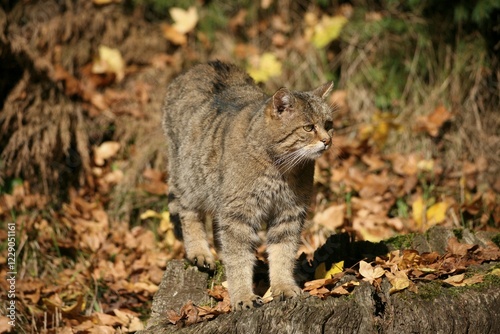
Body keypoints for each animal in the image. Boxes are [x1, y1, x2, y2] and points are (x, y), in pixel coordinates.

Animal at [164, 60, 334, 310]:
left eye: (329, 124)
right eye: (308, 128)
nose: (328, 140)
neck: (280, 168)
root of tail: (203, 64)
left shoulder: (288, 213)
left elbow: (283, 253)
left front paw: (283, 286)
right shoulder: (239, 213)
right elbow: (239, 259)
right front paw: (242, 296)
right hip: (188, 179)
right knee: (189, 214)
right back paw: (199, 252)